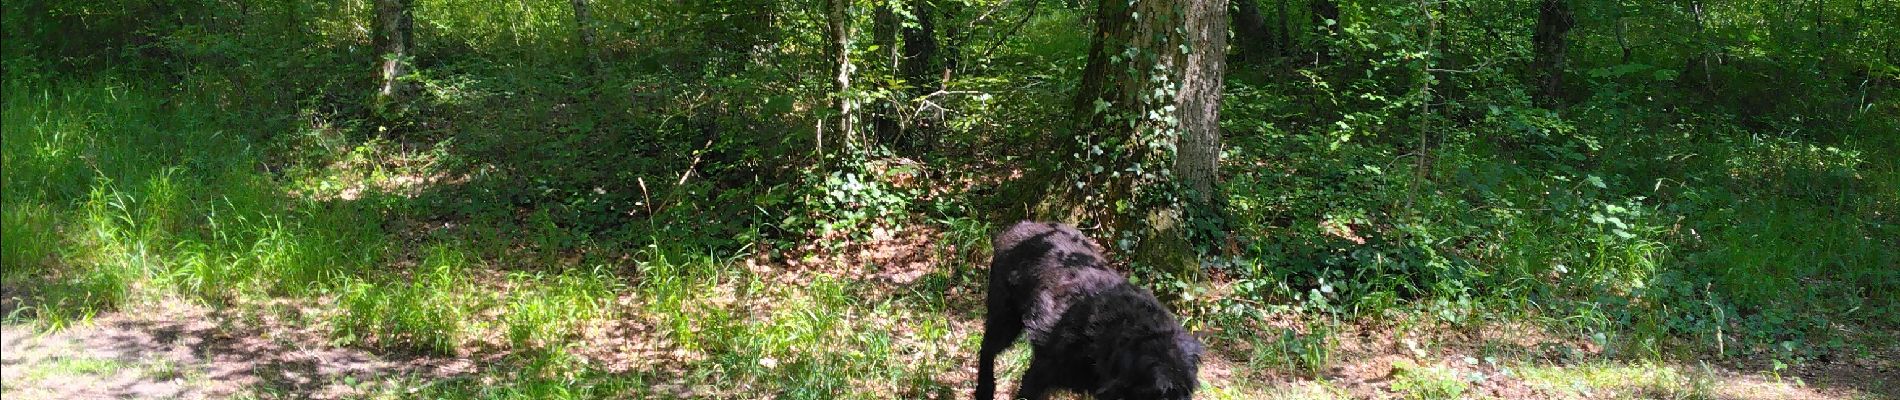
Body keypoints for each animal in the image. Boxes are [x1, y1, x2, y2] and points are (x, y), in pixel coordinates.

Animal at [980, 221, 1200, 400]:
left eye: (1187, 391)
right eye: (1160, 393)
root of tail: (1018, 227)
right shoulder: (1042, 371)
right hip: (1004, 319)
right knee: (987, 349)